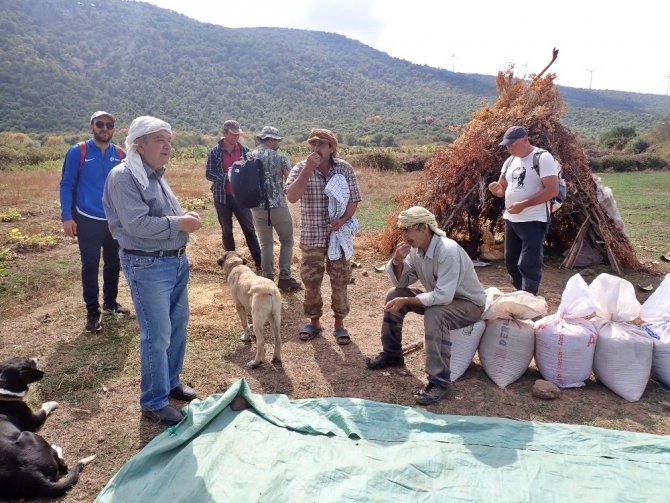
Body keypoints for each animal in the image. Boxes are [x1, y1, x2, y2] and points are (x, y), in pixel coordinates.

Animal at [0, 358, 96, 500]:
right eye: (27, 363)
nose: (35, 358)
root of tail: (34, 476)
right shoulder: (32, 421)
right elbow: (44, 409)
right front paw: (51, 403)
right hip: (29, 434)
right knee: (63, 465)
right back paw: (57, 448)